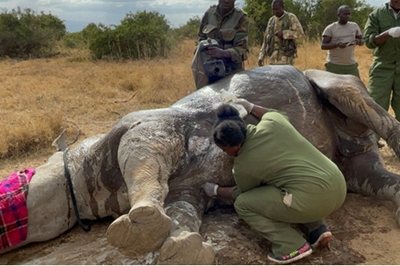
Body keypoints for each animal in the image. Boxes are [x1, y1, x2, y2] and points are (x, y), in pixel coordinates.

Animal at [2, 65, 400, 264]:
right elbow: (181, 211)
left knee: (356, 100)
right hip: (352, 163)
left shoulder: (147, 129)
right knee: (367, 174)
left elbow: (144, 166)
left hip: (335, 83)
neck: (91, 181)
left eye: (16, 177)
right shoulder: (188, 189)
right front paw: (181, 247)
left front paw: (140, 226)